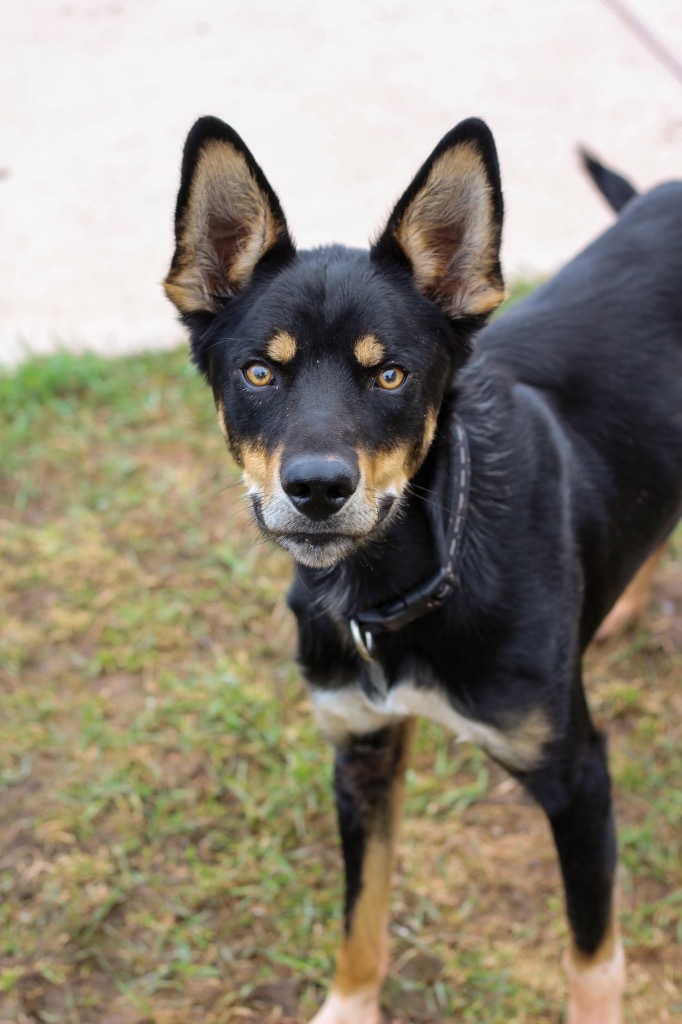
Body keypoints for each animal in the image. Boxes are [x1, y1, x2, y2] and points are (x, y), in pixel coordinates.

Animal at [164, 121, 679, 1024]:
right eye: (259, 372)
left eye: (390, 374)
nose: (318, 489)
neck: (409, 580)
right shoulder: (361, 752)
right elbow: (361, 917)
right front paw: (348, 1007)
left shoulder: (578, 778)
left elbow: (591, 957)